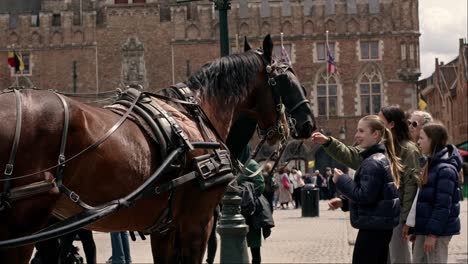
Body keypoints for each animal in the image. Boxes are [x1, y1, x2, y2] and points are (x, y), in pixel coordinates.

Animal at [0, 35, 316, 264]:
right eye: (286, 80)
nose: (307, 123)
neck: (198, 113)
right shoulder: (197, 222)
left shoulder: (164, 226)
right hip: (27, 223)